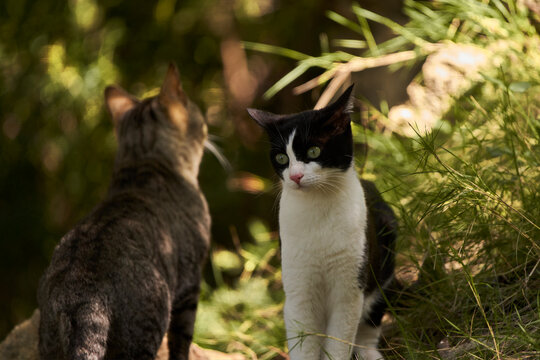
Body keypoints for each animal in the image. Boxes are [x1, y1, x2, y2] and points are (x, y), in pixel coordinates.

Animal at [37, 64, 211, 360]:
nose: (208, 126)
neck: (142, 164)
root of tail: (82, 298)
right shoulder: (190, 284)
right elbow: (181, 342)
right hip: (146, 327)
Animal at [249, 85, 396, 360]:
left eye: (314, 151)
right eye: (282, 158)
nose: (295, 176)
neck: (317, 210)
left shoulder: (349, 289)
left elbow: (338, 343)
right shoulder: (298, 291)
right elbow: (303, 343)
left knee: (370, 323)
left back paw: (369, 353)